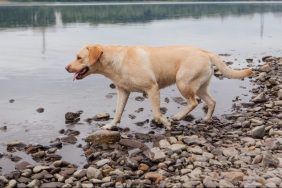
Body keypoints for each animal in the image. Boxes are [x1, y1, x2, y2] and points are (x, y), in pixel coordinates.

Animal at [66, 44, 253, 130]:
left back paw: (178, 117)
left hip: (182, 82)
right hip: (199, 86)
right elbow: (118, 112)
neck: (116, 62)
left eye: (79, 57)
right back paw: (206, 119)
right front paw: (111, 126)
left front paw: (165, 122)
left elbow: (156, 113)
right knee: (211, 102)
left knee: (193, 102)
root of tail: (205, 52)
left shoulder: (152, 88)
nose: (66, 68)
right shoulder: (123, 91)